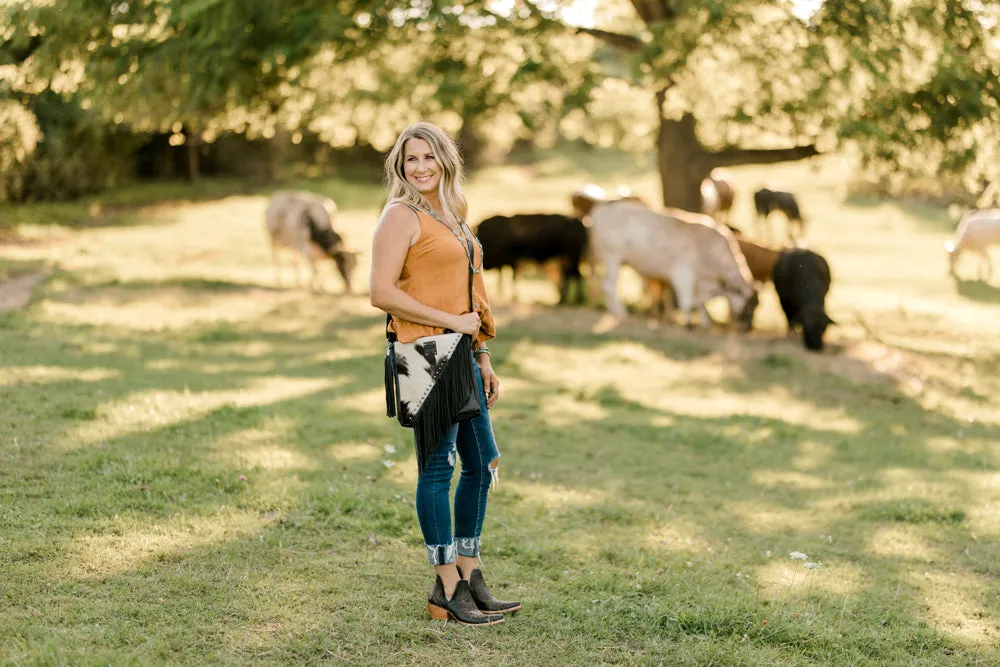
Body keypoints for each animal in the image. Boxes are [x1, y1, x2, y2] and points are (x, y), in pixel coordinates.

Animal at [584, 201, 756, 332]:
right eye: (749, 306)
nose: (747, 328)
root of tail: (599, 210)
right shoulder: (683, 273)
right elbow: (688, 300)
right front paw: (688, 323)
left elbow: (696, 302)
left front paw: (702, 322)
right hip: (612, 257)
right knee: (608, 285)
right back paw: (621, 312)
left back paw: (612, 310)